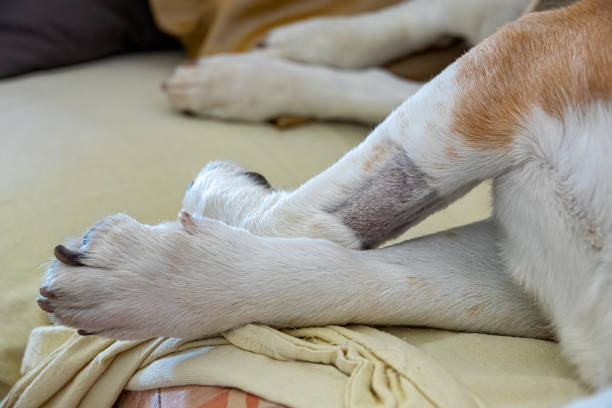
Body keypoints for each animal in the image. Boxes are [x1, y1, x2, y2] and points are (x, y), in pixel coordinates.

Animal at [39, 0, 612, 404]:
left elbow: (369, 276)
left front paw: (156, 282)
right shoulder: (528, 61)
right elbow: (310, 217)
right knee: (452, 24)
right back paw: (285, 52)